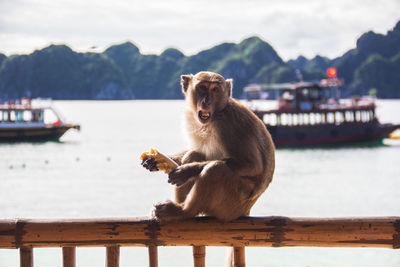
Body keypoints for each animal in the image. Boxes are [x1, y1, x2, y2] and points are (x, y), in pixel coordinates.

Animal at [143, 71, 276, 224]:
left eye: (215, 89)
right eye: (202, 87)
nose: (207, 101)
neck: (216, 115)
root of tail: (246, 211)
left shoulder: (230, 124)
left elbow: (253, 165)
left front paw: (186, 171)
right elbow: (193, 149)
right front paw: (156, 160)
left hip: (232, 205)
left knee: (215, 169)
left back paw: (184, 211)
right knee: (194, 154)